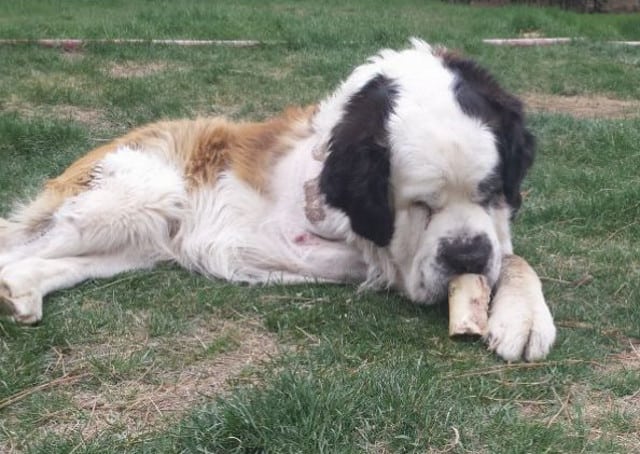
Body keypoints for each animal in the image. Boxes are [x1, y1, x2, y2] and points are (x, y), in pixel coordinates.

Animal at [0, 40, 556, 364]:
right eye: (421, 206)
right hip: (139, 195)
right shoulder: (348, 244)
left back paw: (22, 293)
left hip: (141, 242)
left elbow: (514, 258)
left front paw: (524, 315)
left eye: (492, 192)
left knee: (46, 263)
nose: (466, 256)